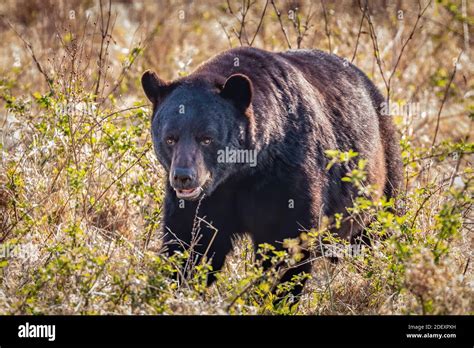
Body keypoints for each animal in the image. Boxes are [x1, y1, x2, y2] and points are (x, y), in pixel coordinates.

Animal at [142, 45, 404, 296]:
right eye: (170, 138)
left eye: (206, 138)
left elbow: (286, 241)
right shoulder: (207, 199)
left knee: (380, 228)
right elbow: (191, 241)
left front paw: (274, 296)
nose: (183, 177)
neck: (240, 174)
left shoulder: (287, 175)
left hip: (383, 170)